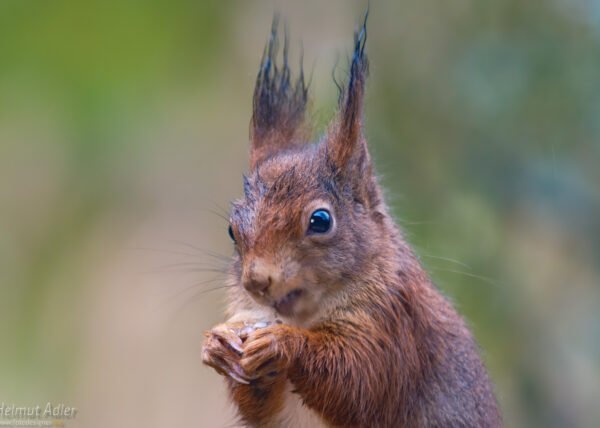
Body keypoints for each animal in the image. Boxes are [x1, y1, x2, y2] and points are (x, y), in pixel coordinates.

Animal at [203, 13, 502, 428]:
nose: (256, 282)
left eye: (320, 220)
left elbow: (356, 381)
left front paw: (282, 343)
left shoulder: (396, 327)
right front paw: (218, 345)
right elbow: (261, 408)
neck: (305, 317)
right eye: (232, 230)